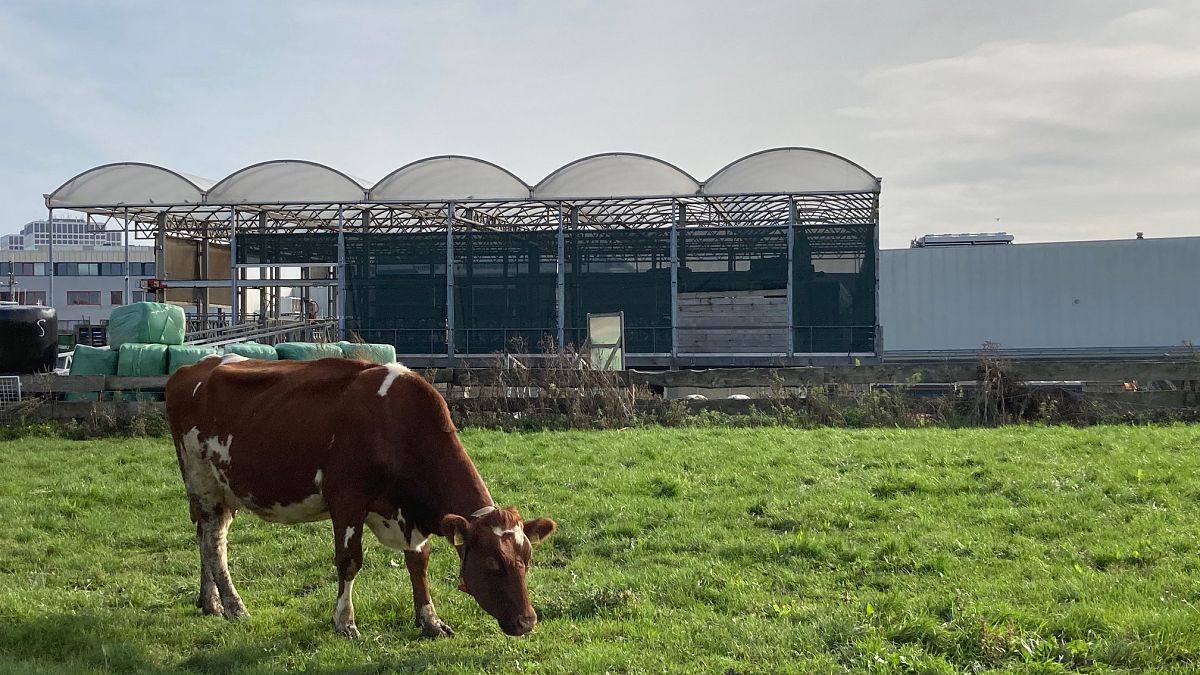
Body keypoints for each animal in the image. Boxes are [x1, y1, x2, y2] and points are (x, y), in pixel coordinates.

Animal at [165, 353, 556, 634]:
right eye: (491, 563)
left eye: (527, 560)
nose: (527, 621)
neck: (394, 424)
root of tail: (195, 366)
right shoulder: (347, 501)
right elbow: (349, 561)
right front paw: (344, 621)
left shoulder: (408, 514)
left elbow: (418, 561)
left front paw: (430, 620)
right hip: (202, 483)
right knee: (214, 544)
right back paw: (234, 607)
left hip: (222, 492)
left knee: (204, 537)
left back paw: (210, 602)